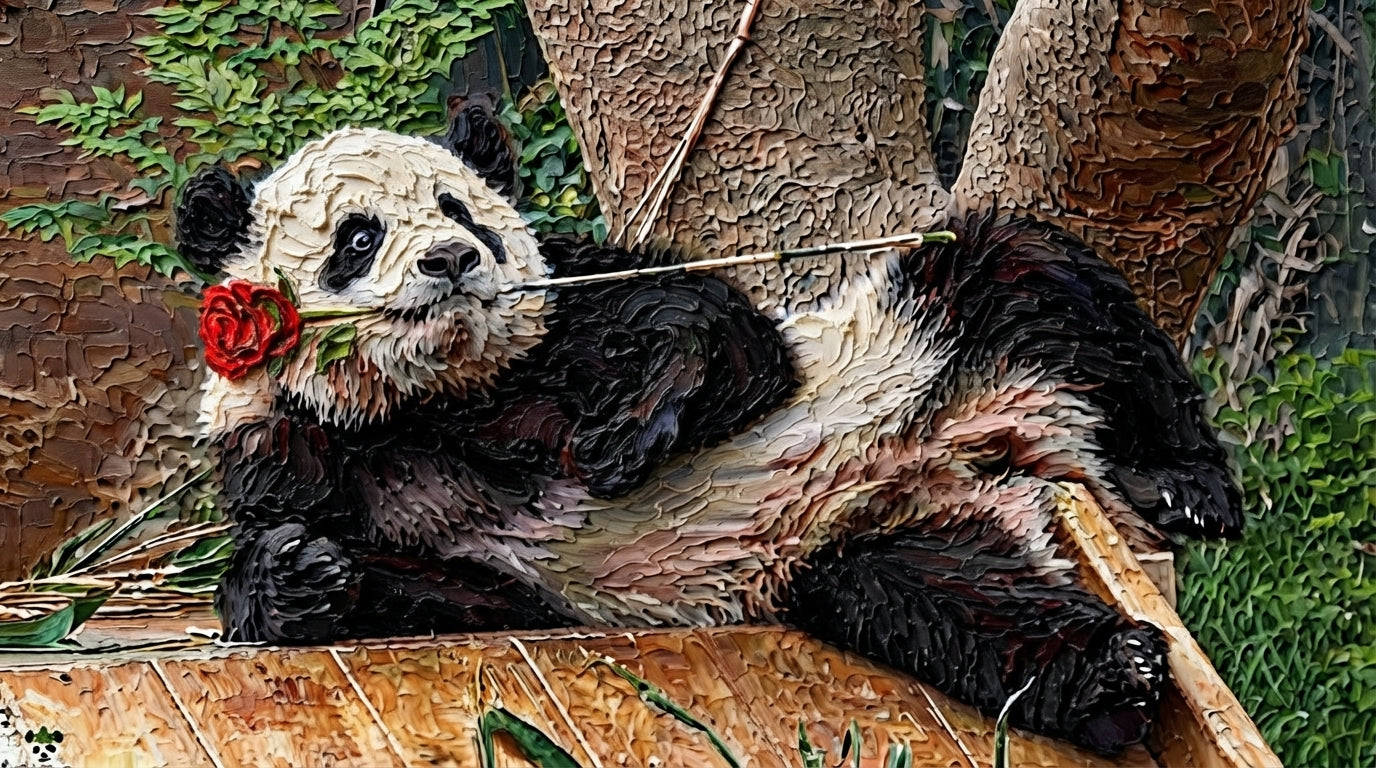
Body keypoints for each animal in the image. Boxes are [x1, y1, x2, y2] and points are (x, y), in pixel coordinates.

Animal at [177, 105, 1241, 755]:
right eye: (358, 236)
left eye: (460, 210)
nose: (453, 260)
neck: (439, 403)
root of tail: (982, 444)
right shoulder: (304, 450)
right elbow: (456, 596)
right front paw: (300, 575)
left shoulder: (566, 305)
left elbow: (722, 333)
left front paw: (629, 431)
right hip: (885, 547)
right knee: (960, 607)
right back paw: (1111, 675)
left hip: (911, 334)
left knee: (1032, 278)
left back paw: (1183, 483)